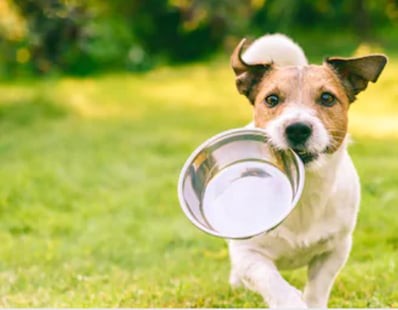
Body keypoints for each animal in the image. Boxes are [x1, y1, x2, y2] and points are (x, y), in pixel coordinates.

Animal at [229, 34, 388, 308]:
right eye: (271, 100)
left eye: (327, 98)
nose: (297, 128)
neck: (305, 190)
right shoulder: (249, 255)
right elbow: (272, 282)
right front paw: (290, 301)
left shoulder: (335, 250)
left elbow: (317, 289)